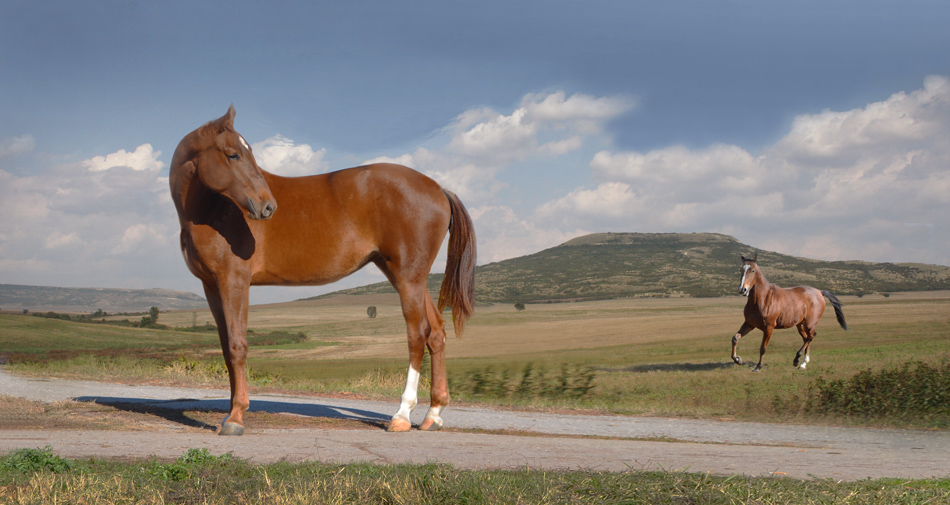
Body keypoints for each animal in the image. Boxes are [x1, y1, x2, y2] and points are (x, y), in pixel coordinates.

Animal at [169, 105, 476, 435]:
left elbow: (238, 346)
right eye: (233, 154)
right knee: (436, 333)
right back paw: (433, 413)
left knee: (417, 336)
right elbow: (226, 349)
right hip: (408, 278)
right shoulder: (212, 285)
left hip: (408, 279)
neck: (212, 209)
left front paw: (236, 417)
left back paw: (402, 415)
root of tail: (440, 190)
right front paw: (230, 411)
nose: (267, 207)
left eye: (242, 153)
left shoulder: (234, 281)